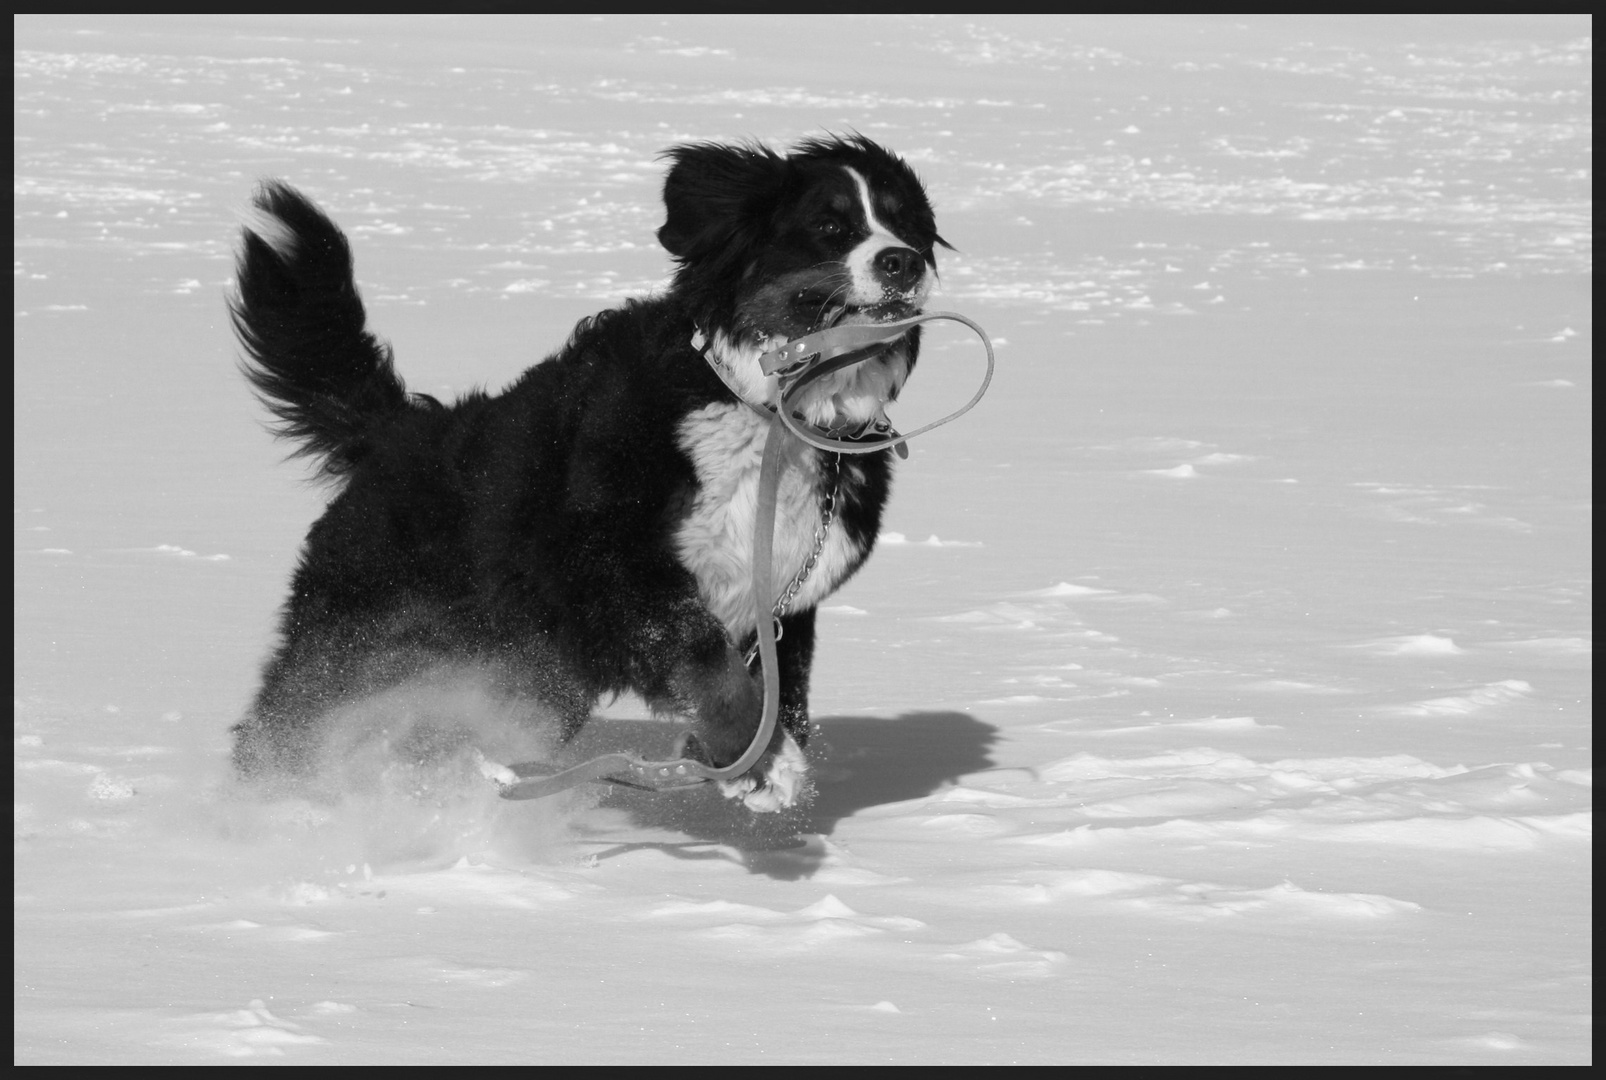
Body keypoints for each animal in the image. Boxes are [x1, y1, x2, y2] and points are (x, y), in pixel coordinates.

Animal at [232, 132, 944, 810]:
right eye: (830, 226)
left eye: (908, 226)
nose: (903, 261)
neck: (768, 413)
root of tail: (401, 431)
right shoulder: (613, 563)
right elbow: (708, 661)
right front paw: (760, 760)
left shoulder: (784, 604)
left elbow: (774, 687)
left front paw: (747, 763)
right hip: (355, 644)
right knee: (276, 734)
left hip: (524, 673)